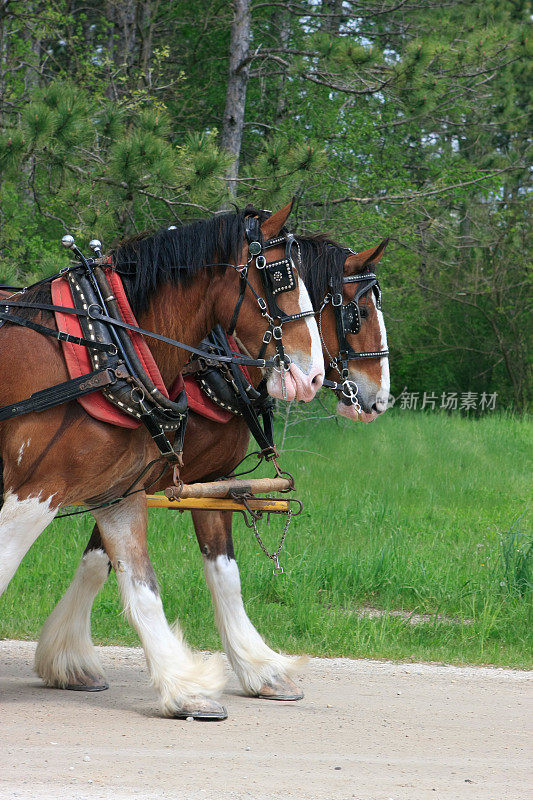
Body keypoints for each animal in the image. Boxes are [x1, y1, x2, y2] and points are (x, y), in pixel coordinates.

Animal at [34, 230, 390, 720]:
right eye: (359, 313)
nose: (380, 399)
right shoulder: (134, 478)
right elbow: (100, 560)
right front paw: (68, 658)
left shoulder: (206, 479)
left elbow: (222, 571)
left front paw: (259, 668)